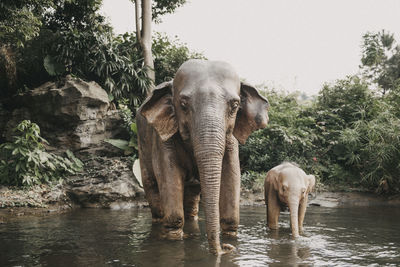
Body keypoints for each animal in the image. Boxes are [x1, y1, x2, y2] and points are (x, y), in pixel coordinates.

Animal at [136, 59, 270, 254]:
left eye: (235, 105)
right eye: (183, 104)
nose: (226, 248)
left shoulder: (231, 141)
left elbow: (231, 176)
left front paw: (231, 238)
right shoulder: (164, 139)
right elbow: (169, 179)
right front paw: (174, 238)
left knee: (192, 194)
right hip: (142, 143)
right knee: (152, 187)